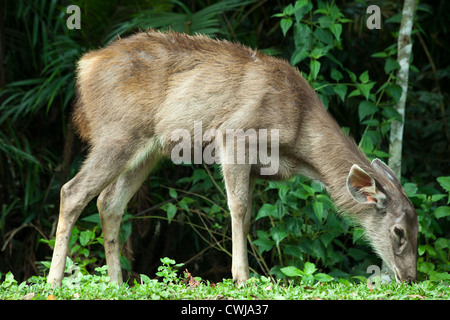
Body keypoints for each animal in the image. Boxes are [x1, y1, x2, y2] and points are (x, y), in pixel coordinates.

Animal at [46, 30, 418, 286]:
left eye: (419, 229)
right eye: (398, 231)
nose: (412, 278)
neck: (299, 137)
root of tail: (85, 66)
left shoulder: (258, 167)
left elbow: (249, 213)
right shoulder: (235, 135)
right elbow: (238, 208)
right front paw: (242, 277)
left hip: (147, 149)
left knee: (109, 201)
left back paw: (116, 282)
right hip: (116, 132)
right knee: (72, 191)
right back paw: (54, 281)